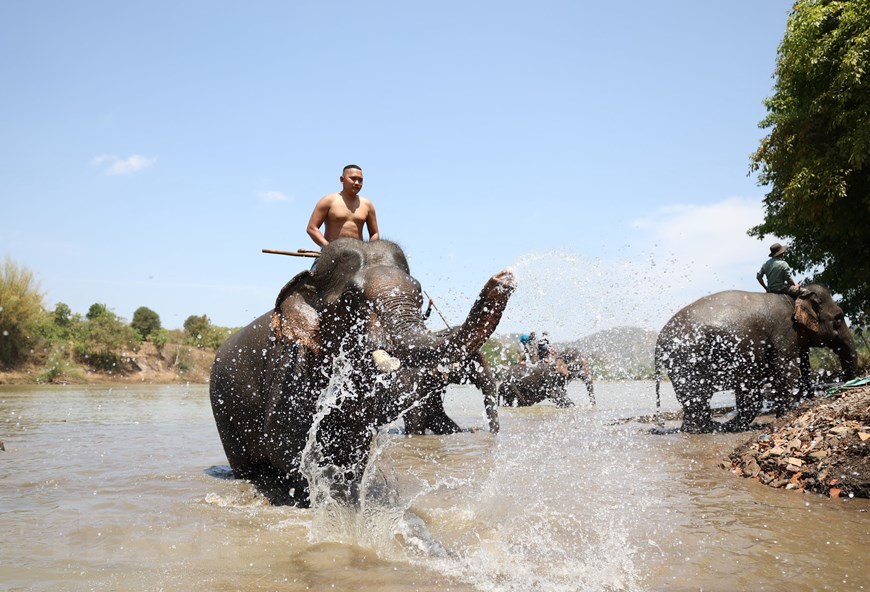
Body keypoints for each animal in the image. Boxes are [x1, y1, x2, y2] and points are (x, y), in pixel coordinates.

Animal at [209, 238, 515, 506]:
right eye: (349, 298)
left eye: (419, 295)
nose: (504, 278)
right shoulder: (290, 371)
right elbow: (284, 443)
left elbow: (361, 439)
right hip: (223, 406)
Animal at [654, 285, 857, 433]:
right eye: (839, 318)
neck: (794, 297)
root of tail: (659, 339)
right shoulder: (783, 334)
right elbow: (786, 373)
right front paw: (783, 418)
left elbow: (750, 390)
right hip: (685, 359)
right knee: (695, 396)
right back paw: (705, 429)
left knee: (697, 398)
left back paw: (706, 428)